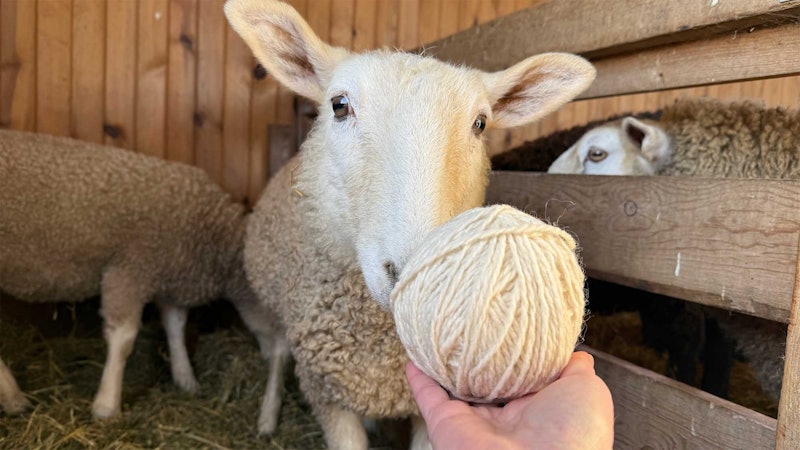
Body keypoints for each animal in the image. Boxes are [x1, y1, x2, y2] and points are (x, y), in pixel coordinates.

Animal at [0, 128, 286, 433]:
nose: (286, 352)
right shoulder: (129, 270)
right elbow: (124, 338)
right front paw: (106, 406)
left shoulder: (166, 273)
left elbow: (175, 324)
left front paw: (185, 378)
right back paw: (13, 397)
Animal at [224, 0, 596, 448]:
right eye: (339, 105)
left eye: (480, 124)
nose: (410, 273)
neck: (380, 343)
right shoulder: (325, 389)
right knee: (278, 352)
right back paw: (266, 416)